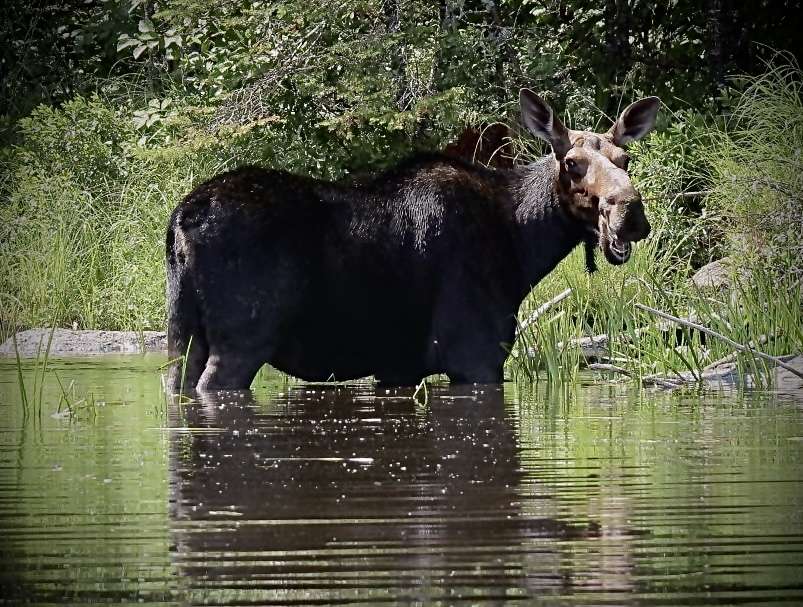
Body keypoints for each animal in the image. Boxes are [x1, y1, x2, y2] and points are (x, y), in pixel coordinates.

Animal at [166, 90, 664, 394]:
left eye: (625, 158)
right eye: (573, 162)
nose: (630, 214)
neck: (523, 243)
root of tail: (181, 220)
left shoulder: (399, 366)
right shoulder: (475, 352)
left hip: (182, 336)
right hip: (241, 340)